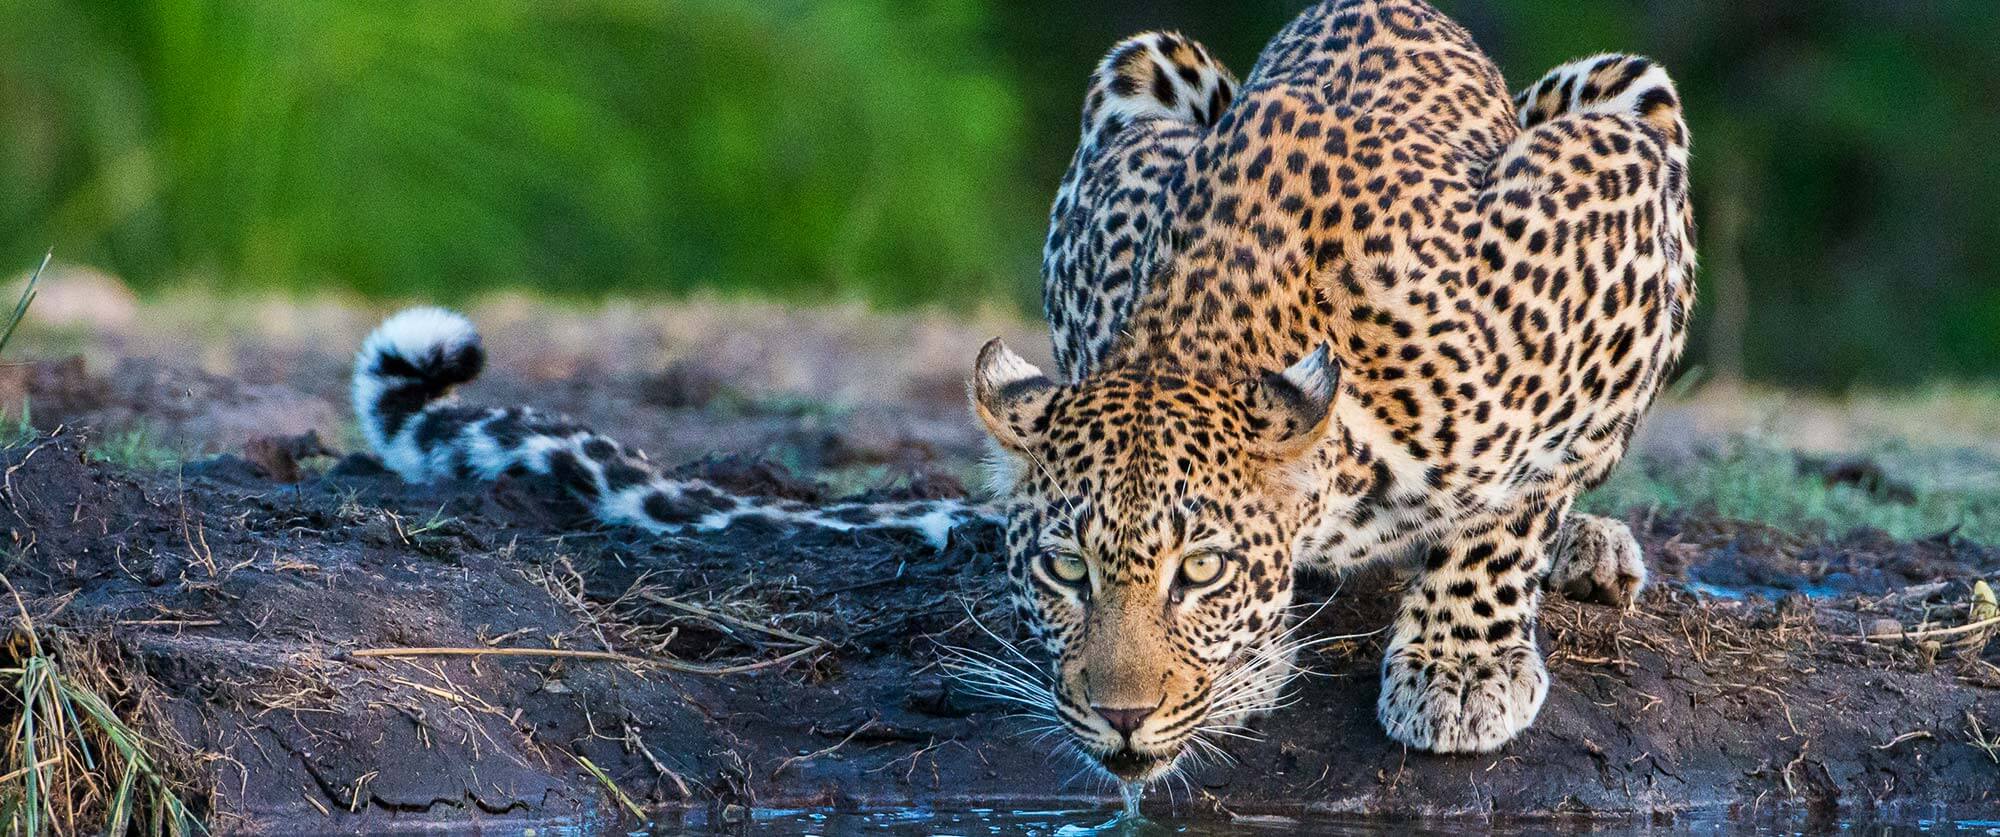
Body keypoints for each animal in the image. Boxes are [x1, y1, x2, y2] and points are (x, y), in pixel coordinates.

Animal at [356, 0, 1688, 788]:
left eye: (1199, 570)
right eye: (1061, 570)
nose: (1122, 719)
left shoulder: (1610, 207)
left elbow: (1511, 499)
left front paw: (1461, 669)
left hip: (1612, 86)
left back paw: (1584, 551)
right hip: (1147, 58)